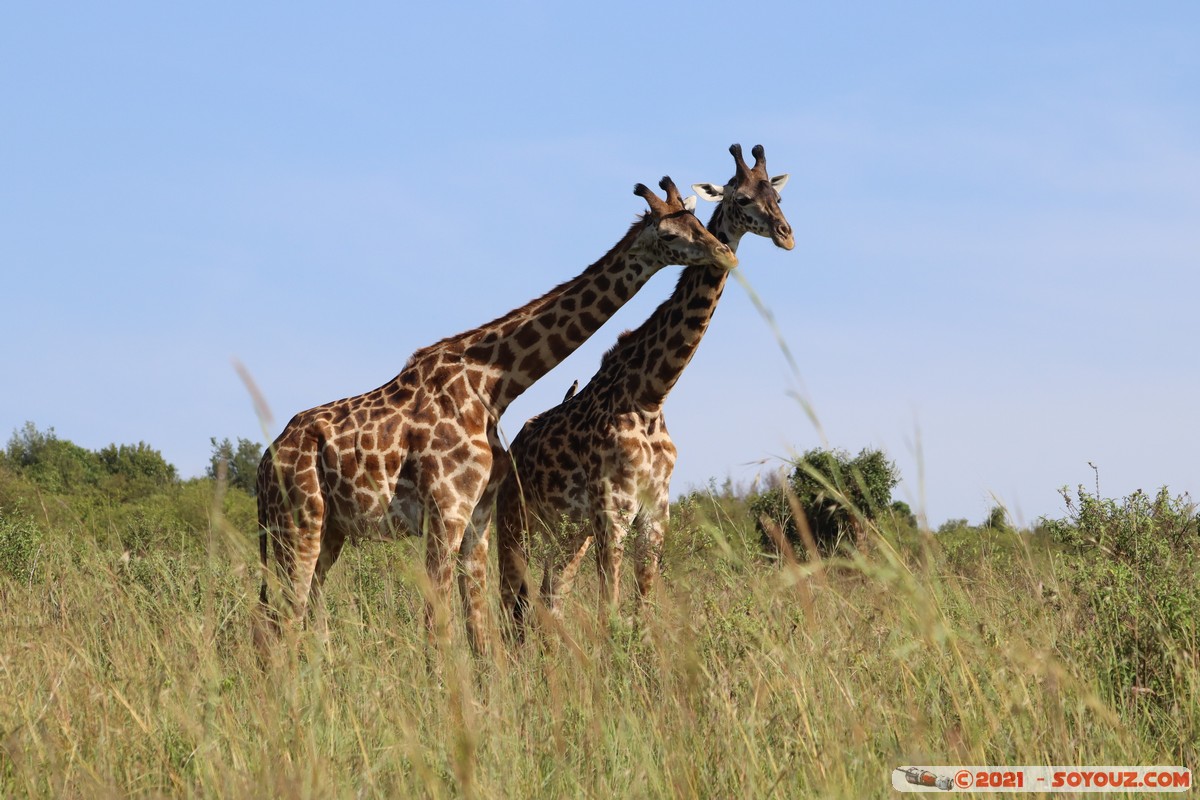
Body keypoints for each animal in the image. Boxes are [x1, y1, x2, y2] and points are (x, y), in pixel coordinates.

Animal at [256, 175, 734, 652]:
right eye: (669, 234)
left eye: (697, 222)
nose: (725, 252)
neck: (491, 387)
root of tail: (265, 463)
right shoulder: (446, 511)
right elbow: (438, 624)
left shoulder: (477, 517)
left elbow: (478, 631)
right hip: (298, 522)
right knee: (283, 616)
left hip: (326, 530)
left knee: (287, 612)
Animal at [492, 143, 792, 638]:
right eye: (743, 198)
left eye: (779, 198)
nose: (787, 236)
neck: (652, 392)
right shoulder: (613, 508)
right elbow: (610, 610)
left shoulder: (654, 512)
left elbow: (641, 610)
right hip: (517, 519)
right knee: (513, 601)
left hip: (570, 532)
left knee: (551, 598)